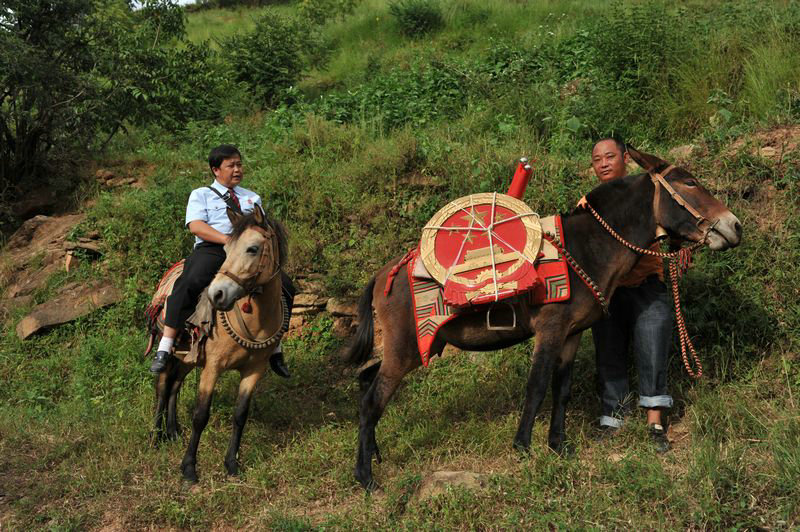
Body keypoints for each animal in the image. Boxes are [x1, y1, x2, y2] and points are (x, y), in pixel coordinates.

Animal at [152, 206, 290, 484]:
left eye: (252, 249)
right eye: (225, 249)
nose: (217, 294)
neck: (255, 320)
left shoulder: (254, 370)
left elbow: (240, 415)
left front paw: (232, 465)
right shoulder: (213, 367)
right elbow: (200, 415)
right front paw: (189, 469)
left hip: (187, 358)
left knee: (174, 386)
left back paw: (172, 432)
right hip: (171, 354)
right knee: (162, 387)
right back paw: (156, 436)